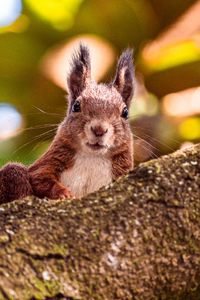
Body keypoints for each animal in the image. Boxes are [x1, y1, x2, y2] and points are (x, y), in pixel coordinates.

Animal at [0, 44, 134, 204]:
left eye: (125, 112)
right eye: (76, 106)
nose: (99, 129)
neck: (92, 157)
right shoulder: (47, 163)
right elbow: (41, 179)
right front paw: (64, 194)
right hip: (13, 173)